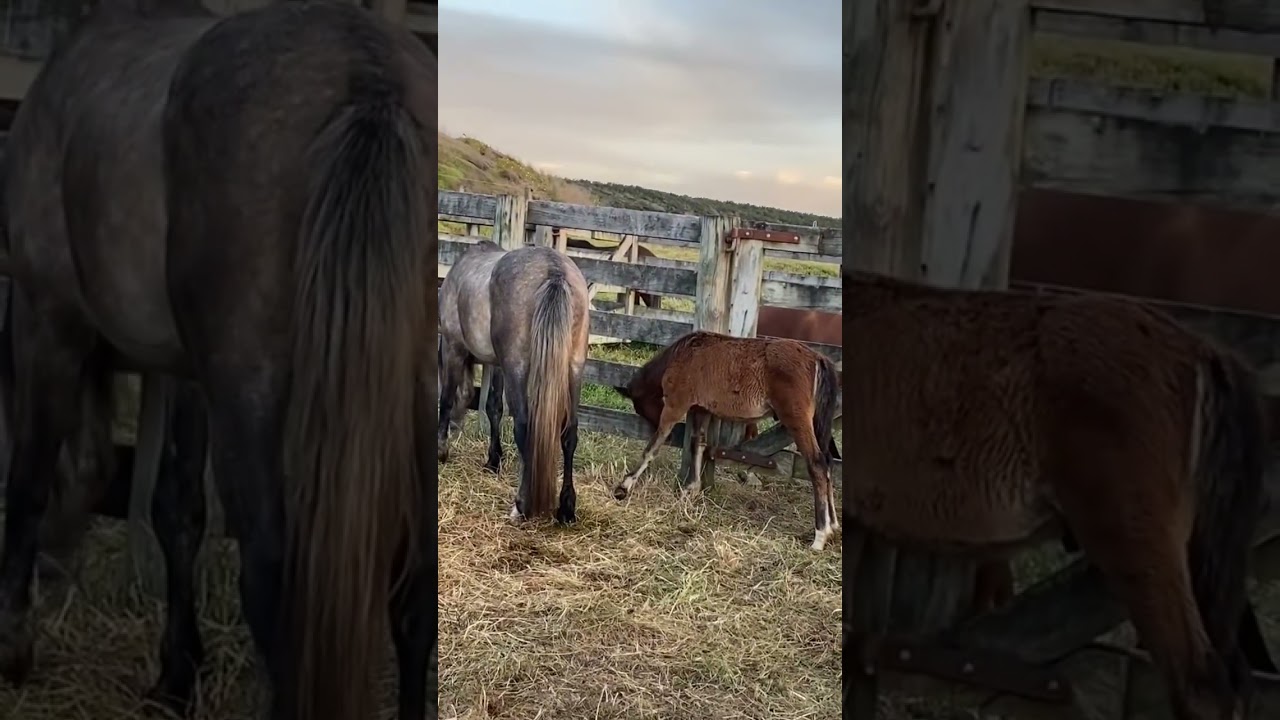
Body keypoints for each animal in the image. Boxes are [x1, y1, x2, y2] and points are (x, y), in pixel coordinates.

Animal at [0, 3, 436, 720]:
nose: (57, 569)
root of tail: (367, 71)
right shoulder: (186, 375)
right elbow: (178, 508)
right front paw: (177, 674)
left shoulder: (47, 323)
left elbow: (28, 479)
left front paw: (13, 644)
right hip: (414, 396)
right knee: (416, 589)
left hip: (250, 396)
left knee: (275, 588)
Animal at [438, 241, 590, 524]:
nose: (456, 426)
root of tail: (554, 270)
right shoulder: (496, 364)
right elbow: (493, 407)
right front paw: (493, 460)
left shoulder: (454, 348)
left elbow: (446, 398)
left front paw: (441, 450)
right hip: (574, 368)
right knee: (569, 433)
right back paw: (566, 508)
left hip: (517, 368)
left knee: (524, 425)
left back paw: (522, 504)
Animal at [613, 330, 843, 550]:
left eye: (639, 407)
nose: (668, 434)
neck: (684, 354)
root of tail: (817, 358)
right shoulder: (701, 409)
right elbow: (698, 443)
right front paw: (691, 489)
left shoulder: (675, 406)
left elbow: (652, 447)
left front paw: (624, 486)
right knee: (828, 464)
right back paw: (833, 526)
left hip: (797, 420)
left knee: (817, 464)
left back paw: (820, 536)